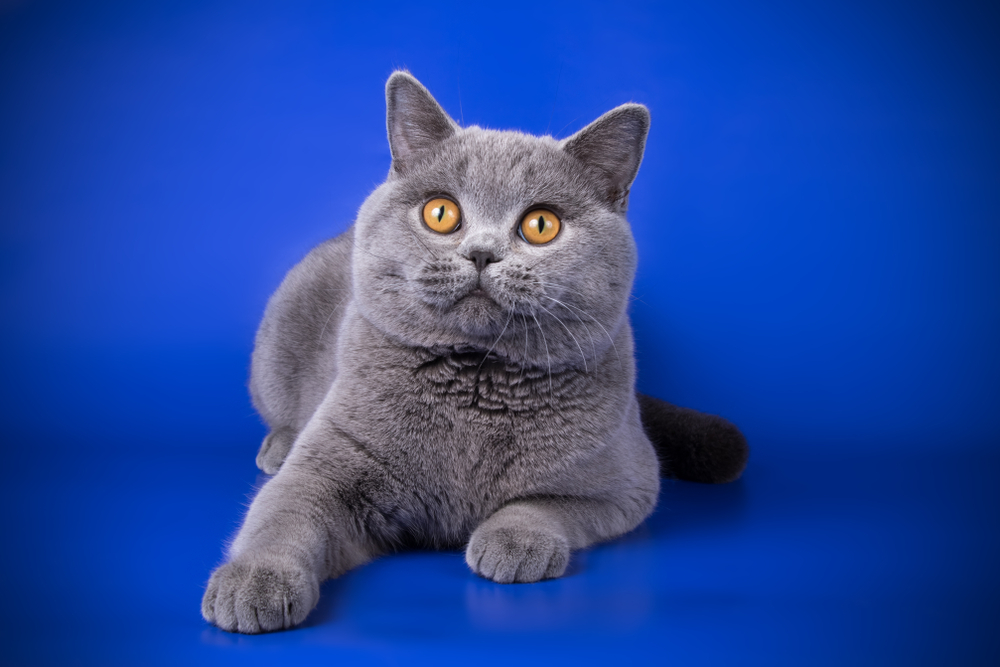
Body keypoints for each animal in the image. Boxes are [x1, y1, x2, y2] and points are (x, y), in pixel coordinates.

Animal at [199, 70, 748, 636]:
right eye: (441, 213)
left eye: (541, 225)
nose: (482, 253)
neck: (477, 379)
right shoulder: (326, 467)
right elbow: (282, 514)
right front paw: (253, 582)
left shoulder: (626, 484)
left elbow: (545, 504)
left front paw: (514, 542)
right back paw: (278, 446)